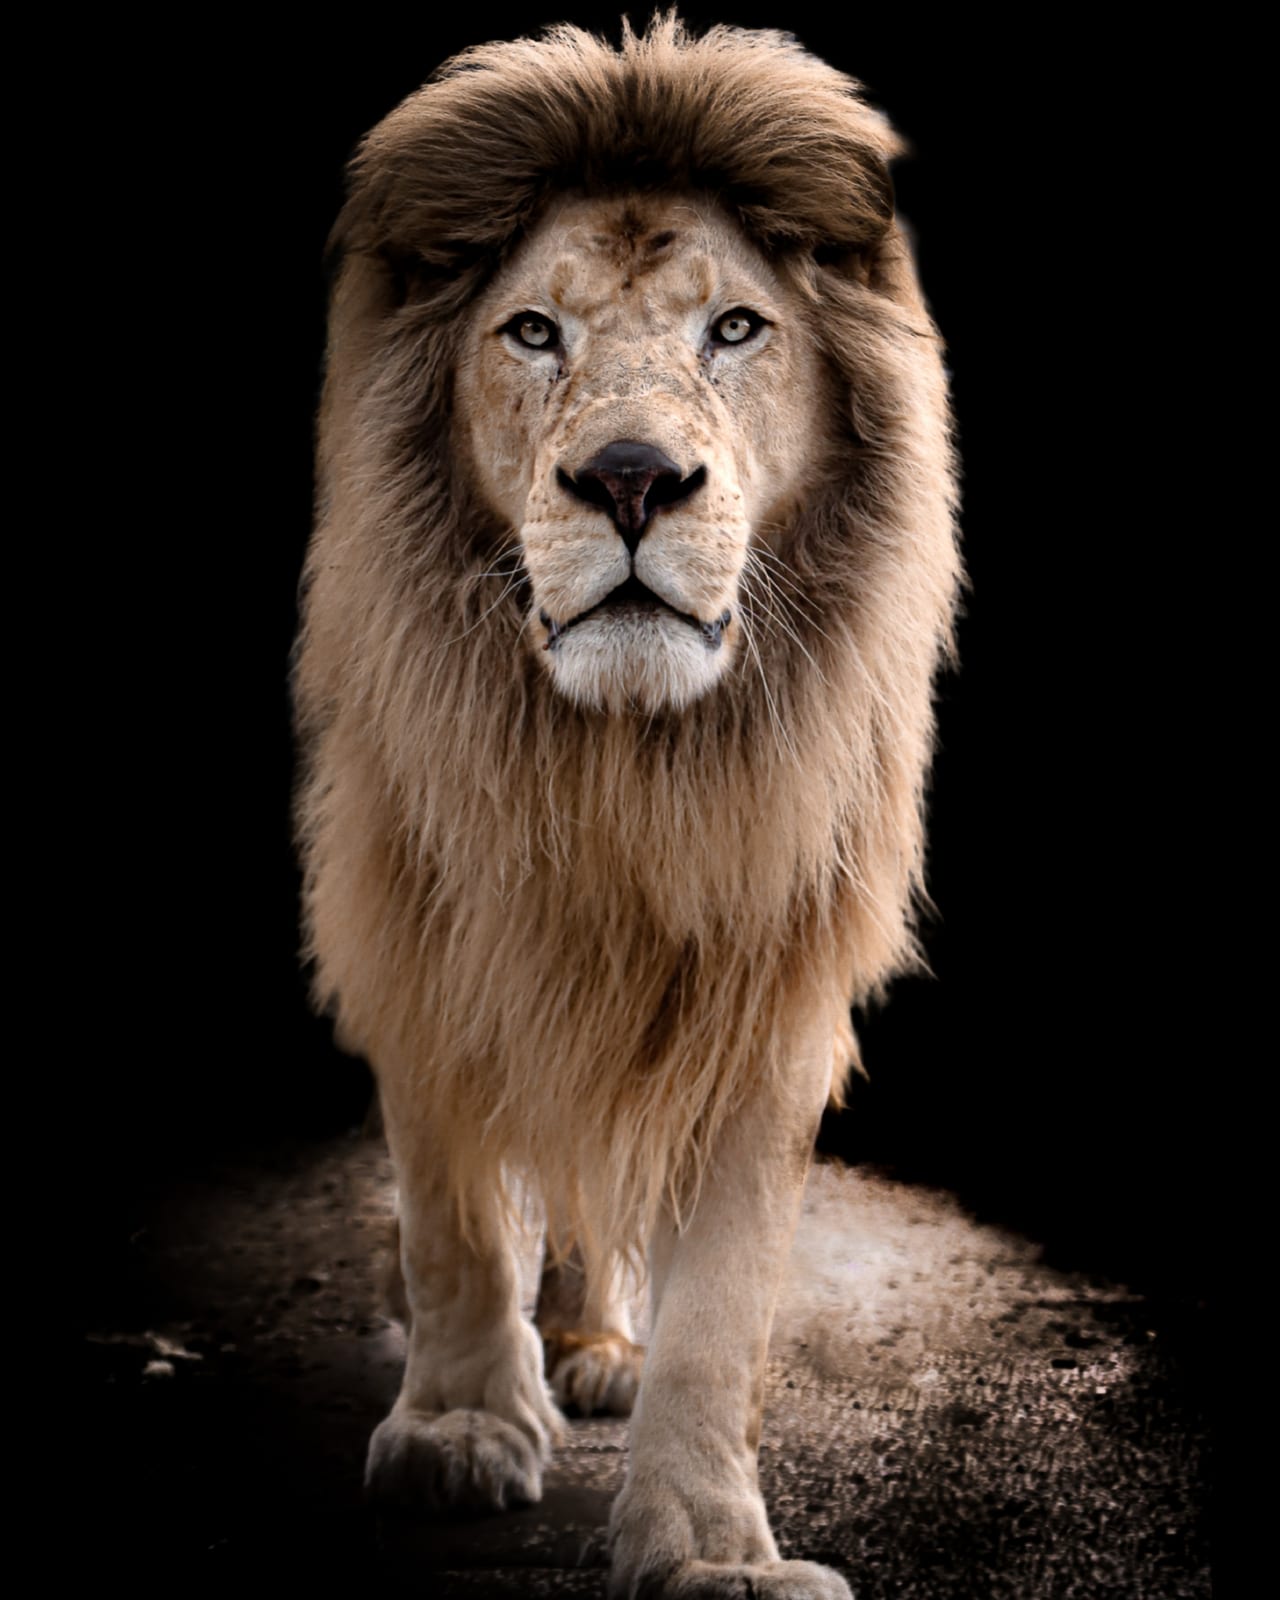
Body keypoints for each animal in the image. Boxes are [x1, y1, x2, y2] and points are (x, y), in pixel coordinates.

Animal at [293, 15, 961, 1598]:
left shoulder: (772, 971)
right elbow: (455, 1215)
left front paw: (711, 1546)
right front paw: (461, 1426)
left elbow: (723, 1297)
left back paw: (601, 1349)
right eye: (534, 331)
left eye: (736, 329)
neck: (620, 766)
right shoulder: (415, 921)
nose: (632, 478)